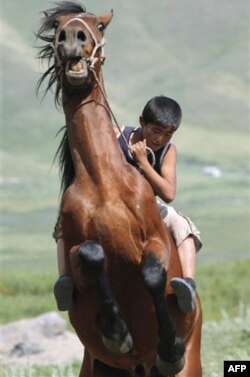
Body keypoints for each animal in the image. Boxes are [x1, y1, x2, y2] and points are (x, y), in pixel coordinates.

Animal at [36, 1, 201, 374]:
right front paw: (116, 333)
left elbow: (153, 274)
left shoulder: (156, 241)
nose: (72, 37)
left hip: (192, 363)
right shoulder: (74, 249)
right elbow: (90, 254)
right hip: (98, 366)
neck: (104, 184)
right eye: (58, 27)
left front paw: (169, 348)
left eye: (98, 25)